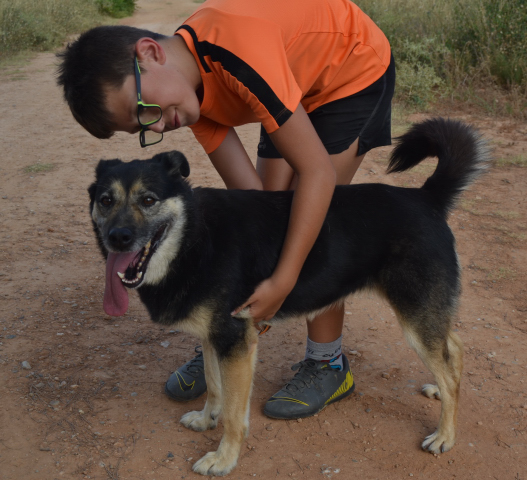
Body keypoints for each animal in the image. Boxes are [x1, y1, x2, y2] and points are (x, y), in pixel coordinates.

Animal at [88, 118, 489, 476]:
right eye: (105, 200)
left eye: (149, 199)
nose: (117, 238)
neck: (195, 236)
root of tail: (426, 196)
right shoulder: (216, 338)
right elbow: (215, 387)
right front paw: (205, 419)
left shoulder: (236, 343)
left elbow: (234, 413)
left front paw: (224, 459)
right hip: (425, 312)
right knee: (455, 348)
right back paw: (438, 392)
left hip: (415, 315)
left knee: (450, 371)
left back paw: (445, 435)